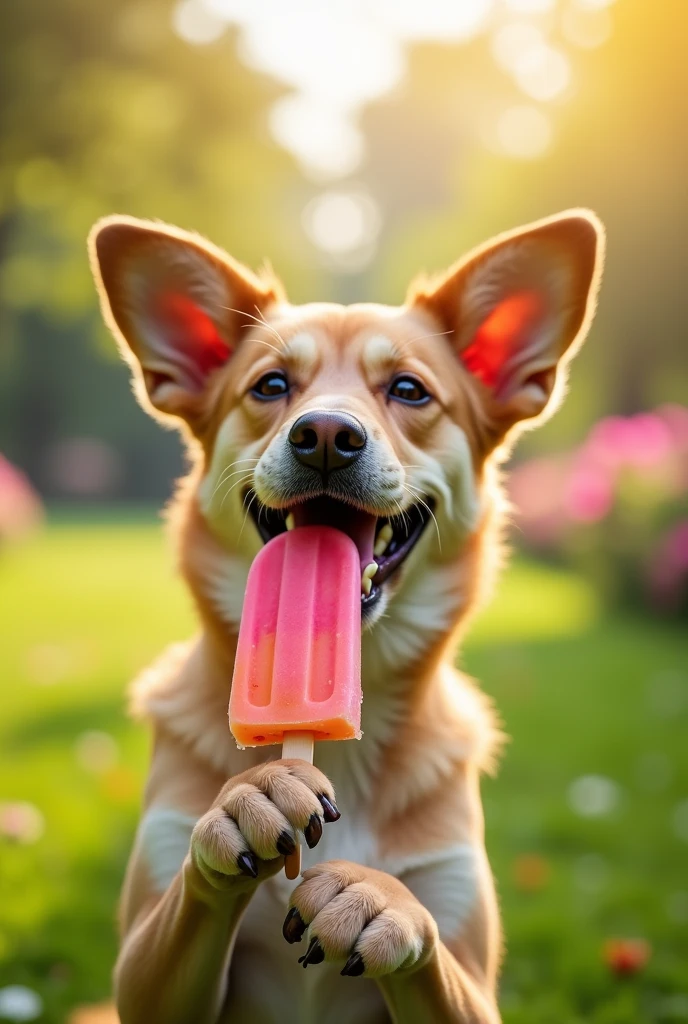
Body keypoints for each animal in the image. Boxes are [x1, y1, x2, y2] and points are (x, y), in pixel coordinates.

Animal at [83, 209, 606, 1024]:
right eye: (270, 385)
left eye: (409, 390)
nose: (326, 433)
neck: (343, 759)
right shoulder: (143, 979)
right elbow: (181, 908)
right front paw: (252, 796)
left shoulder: (470, 967)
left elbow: (425, 935)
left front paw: (380, 900)